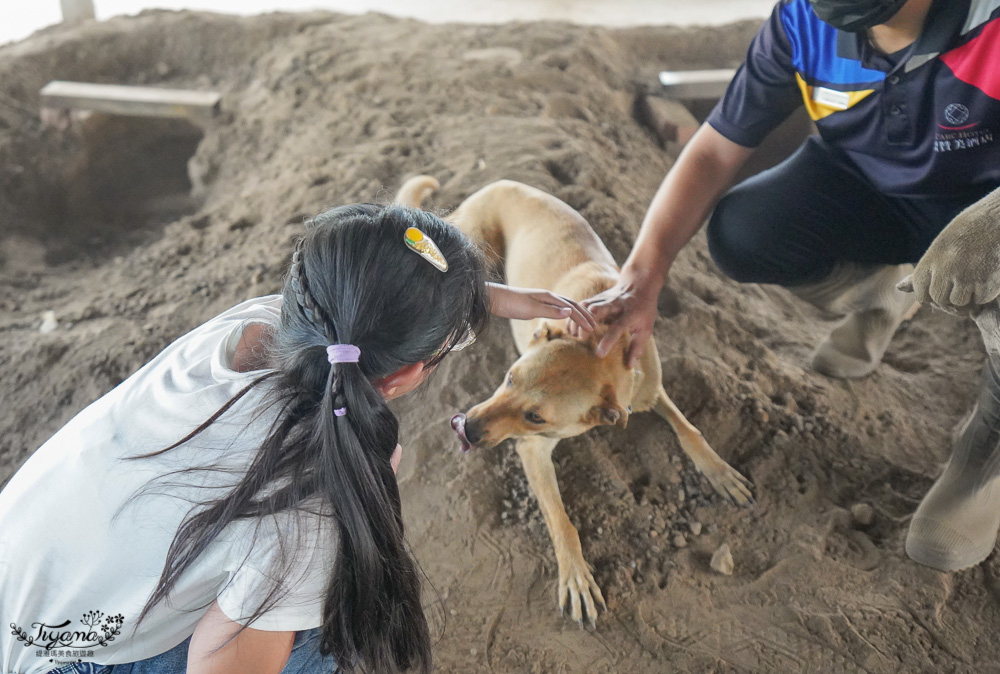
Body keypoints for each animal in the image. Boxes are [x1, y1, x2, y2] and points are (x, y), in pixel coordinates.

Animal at [396, 175, 752, 624]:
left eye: (536, 416)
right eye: (509, 377)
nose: (468, 430)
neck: (599, 346)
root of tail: (498, 183)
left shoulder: (647, 391)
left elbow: (689, 430)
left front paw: (719, 471)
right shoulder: (531, 451)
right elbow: (561, 520)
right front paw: (576, 576)